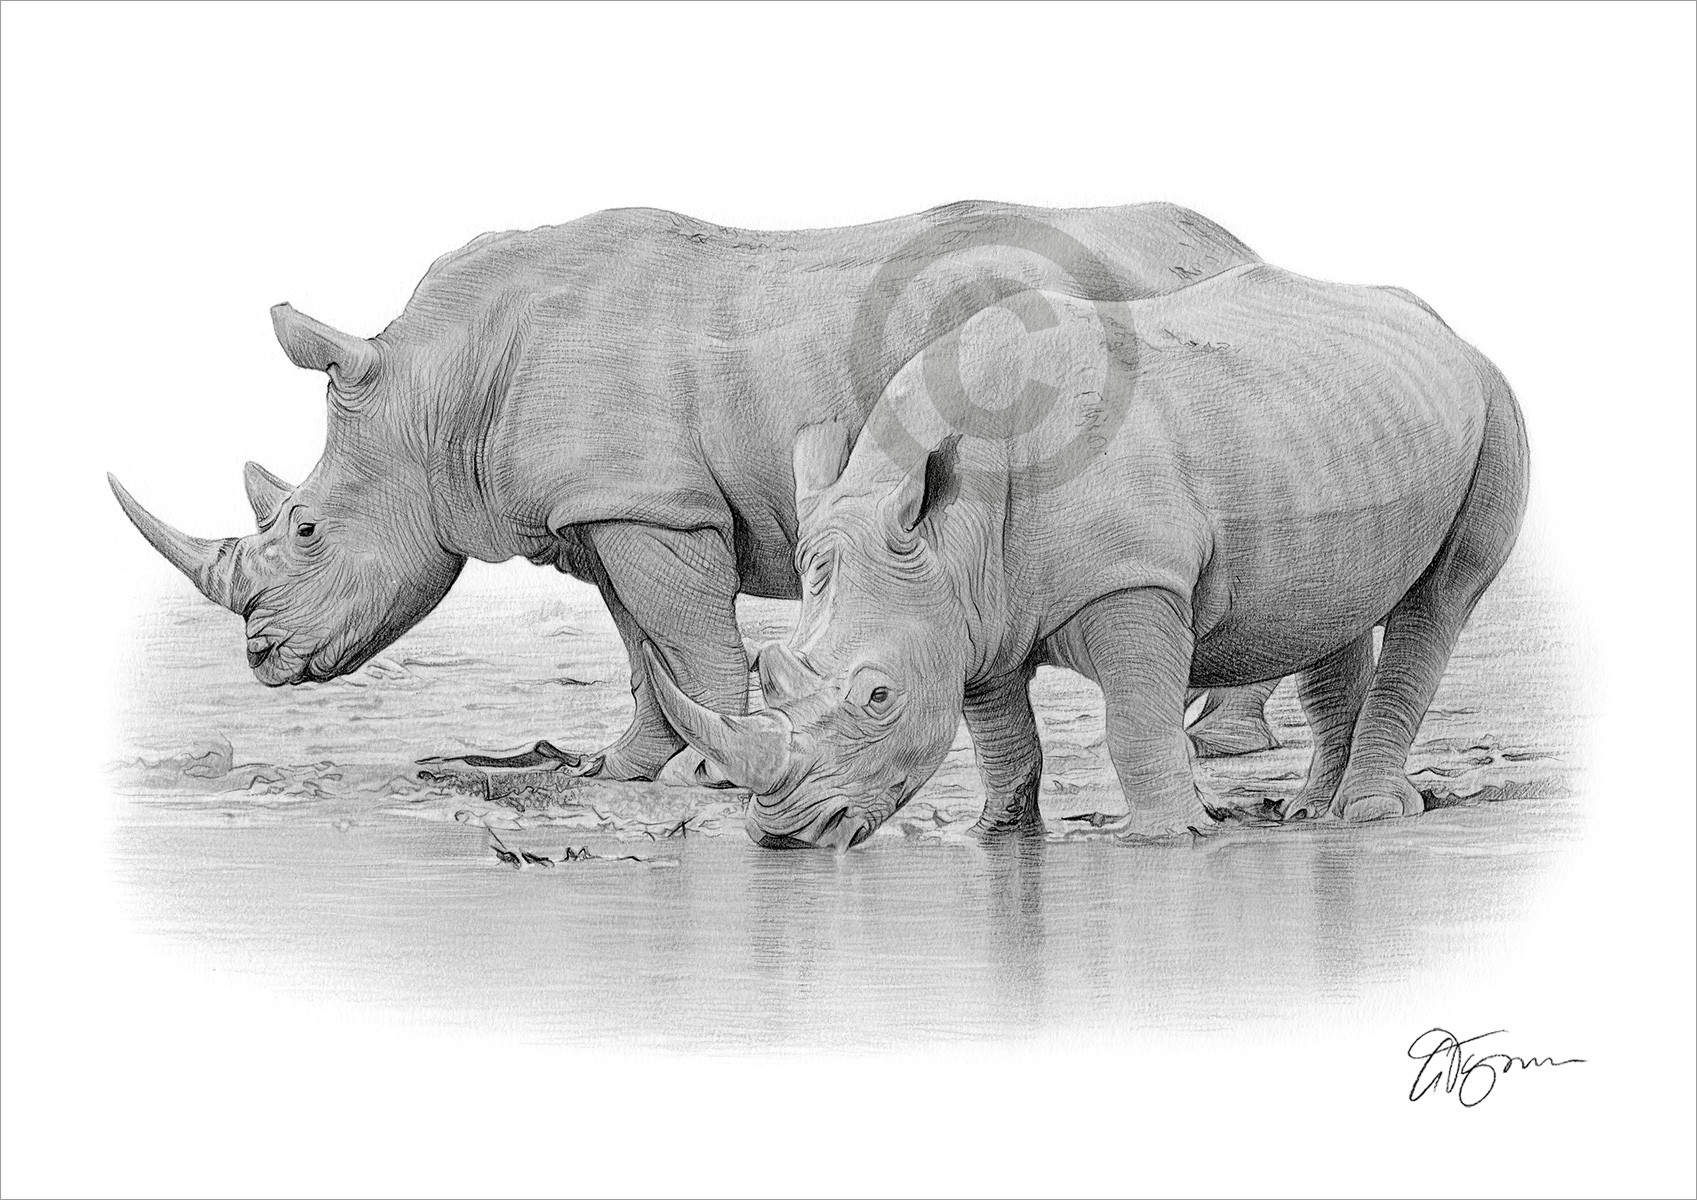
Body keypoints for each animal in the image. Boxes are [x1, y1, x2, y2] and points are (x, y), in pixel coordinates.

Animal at [109, 201, 1286, 776]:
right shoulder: (605, 509)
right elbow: (644, 647)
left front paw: (718, 774)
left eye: (307, 529)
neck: (437, 387)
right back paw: (1221, 738)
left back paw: (1216, 744)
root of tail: (1231, 243)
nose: (260, 662)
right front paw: (619, 767)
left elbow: (684, 634)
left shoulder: (647, 502)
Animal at [645, 264, 1528, 848]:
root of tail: (1445, 329)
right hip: (1329, 422)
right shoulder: (973, 609)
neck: (949, 529)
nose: (784, 834)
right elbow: (1000, 734)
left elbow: (1133, 722)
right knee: (1328, 605)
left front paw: (1164, 840)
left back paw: (1366, 815)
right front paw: (995, 835)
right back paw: (1315, 812)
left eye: (877, 697)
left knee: (1440, 600)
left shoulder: (1131, 582)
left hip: (1492, 399)